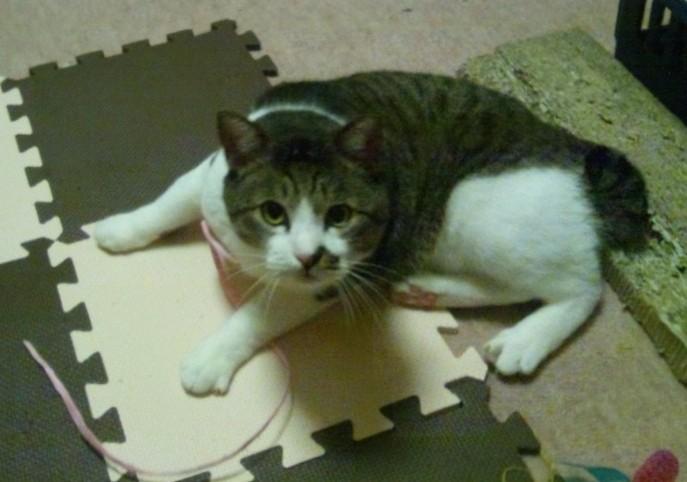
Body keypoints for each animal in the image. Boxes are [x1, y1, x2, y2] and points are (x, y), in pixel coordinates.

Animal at [94, 71, 648, 395]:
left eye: (339, 215)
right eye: (273, 212)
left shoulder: (326, 280)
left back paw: (525, 339)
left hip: (480, 211)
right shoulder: (210, 177)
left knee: (580, 287)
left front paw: (210, 360)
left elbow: (255, 316)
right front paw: (118, 229)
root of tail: (573, 148)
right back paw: (428, 290)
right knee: (512, 285)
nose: (309, 256)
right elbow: (168, 202)